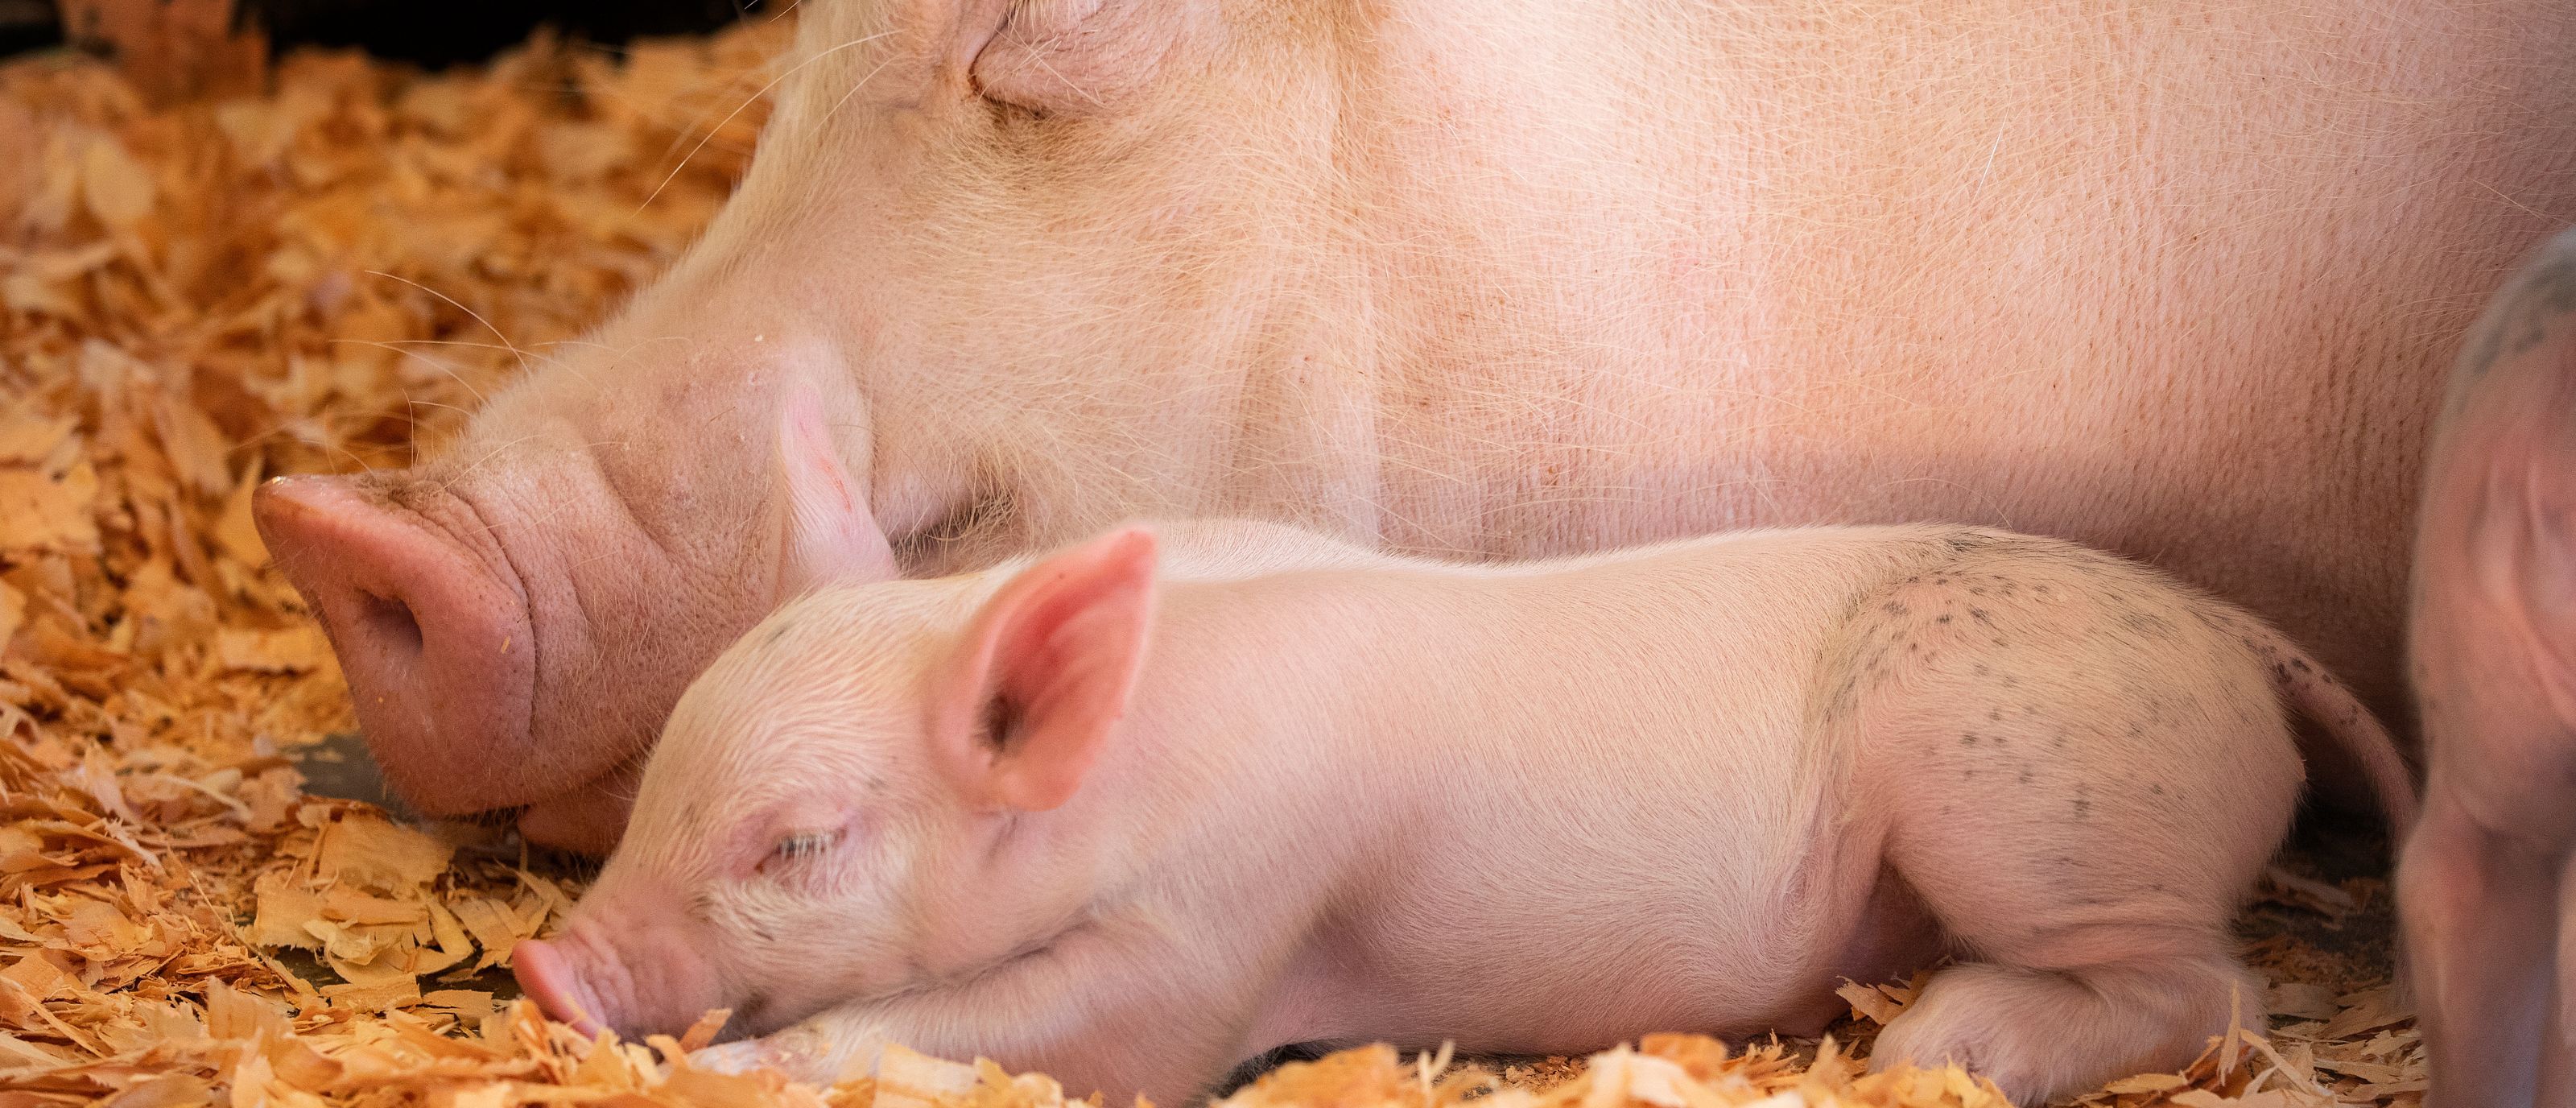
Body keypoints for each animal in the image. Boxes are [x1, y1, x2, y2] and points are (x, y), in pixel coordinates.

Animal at [512, 402, 2418, 1107]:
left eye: (797, 844)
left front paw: (751, 1061)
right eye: (663, 785)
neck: (1136, 766)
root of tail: (2235, 642)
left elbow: (1083, 1031)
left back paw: (1939, 1045)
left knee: (2213, 987)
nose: (546, 965)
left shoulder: (1233, 921)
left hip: (2022, 791)